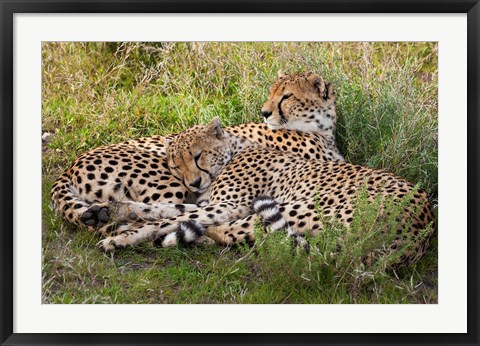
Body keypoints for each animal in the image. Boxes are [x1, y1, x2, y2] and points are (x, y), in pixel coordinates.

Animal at [50, 72, 344, 235]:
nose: (265, 112)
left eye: (287, 96)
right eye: (271, 93)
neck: (320, 128)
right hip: (168, 184)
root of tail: (71, 165)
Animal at [98, 117, 436, 266]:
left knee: (236, 232)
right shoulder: (212, 202)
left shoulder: (228, 205)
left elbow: (170, 218)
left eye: (198, 156)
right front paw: (114, 211)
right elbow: (167, 210)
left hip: (295, 208)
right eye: (175, 165)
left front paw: (121, 236)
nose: (192, 184)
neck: (235, 151)